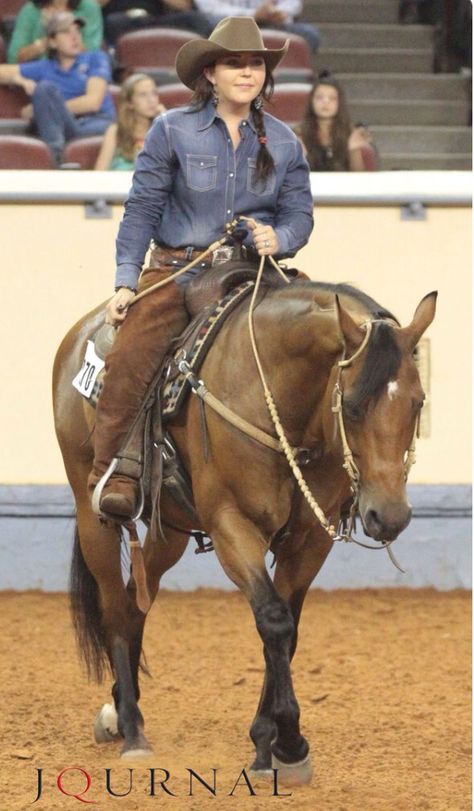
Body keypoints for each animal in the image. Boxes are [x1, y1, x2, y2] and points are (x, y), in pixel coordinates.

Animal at [51, 274, 436, 788]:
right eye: (352, 407)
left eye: (418, 402)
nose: (389, 516)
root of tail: (78, 335)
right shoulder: (232, 525)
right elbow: (273, 620)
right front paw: (290, 744)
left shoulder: (310, 541)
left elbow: (289, 631)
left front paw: (270, 744)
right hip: (91, 509)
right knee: (115, 603)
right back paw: (132, 729)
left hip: (171, 530)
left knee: (137, 599)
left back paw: (117, 709)